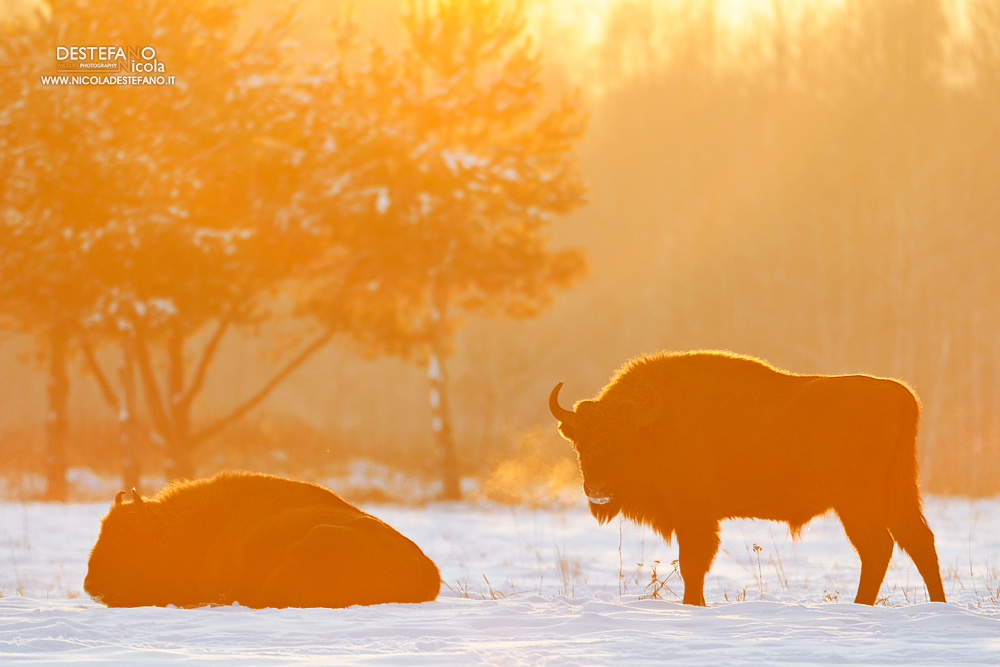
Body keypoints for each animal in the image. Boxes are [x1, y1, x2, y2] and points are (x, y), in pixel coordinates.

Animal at [549, 350, 946, 606]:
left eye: (623, 441)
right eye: (580, 443)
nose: (597, 489)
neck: (655, 427)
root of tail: (898, 393)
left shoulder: (695, 517)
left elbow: (693, 564)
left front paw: (694, 605)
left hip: (857, 501)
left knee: (879, 547)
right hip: (897, 492)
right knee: (917, 542)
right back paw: (936, 605)